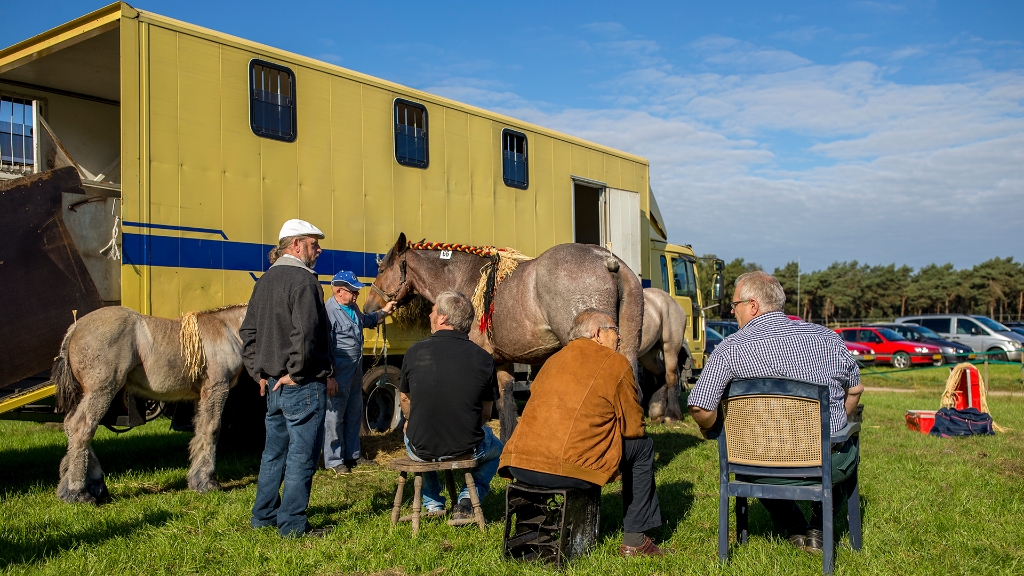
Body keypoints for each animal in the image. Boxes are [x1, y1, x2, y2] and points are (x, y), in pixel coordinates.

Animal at [53, 303, 247, 500]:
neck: (227, 327)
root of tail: (75, 328)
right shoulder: (216, 387)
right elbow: (211, 429)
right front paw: (208, 481)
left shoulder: (200, 396)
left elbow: (199, 429)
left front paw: (196, 479)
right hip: (101, 391)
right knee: (82, 427)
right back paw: (78, 492)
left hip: (87, 394)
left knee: (70, 425)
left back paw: (88, 486)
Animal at [364, 230, 643, 436]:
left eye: (381, 269)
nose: (369, 308)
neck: (465, 276)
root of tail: (606, 260)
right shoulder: (501, 362)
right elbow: (506, 406)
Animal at [634, 286, 692, 422]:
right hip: (648, 355)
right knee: (661, 373)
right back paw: (657, 411)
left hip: (670, 347)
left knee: (671, 376)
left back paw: (672, 415)